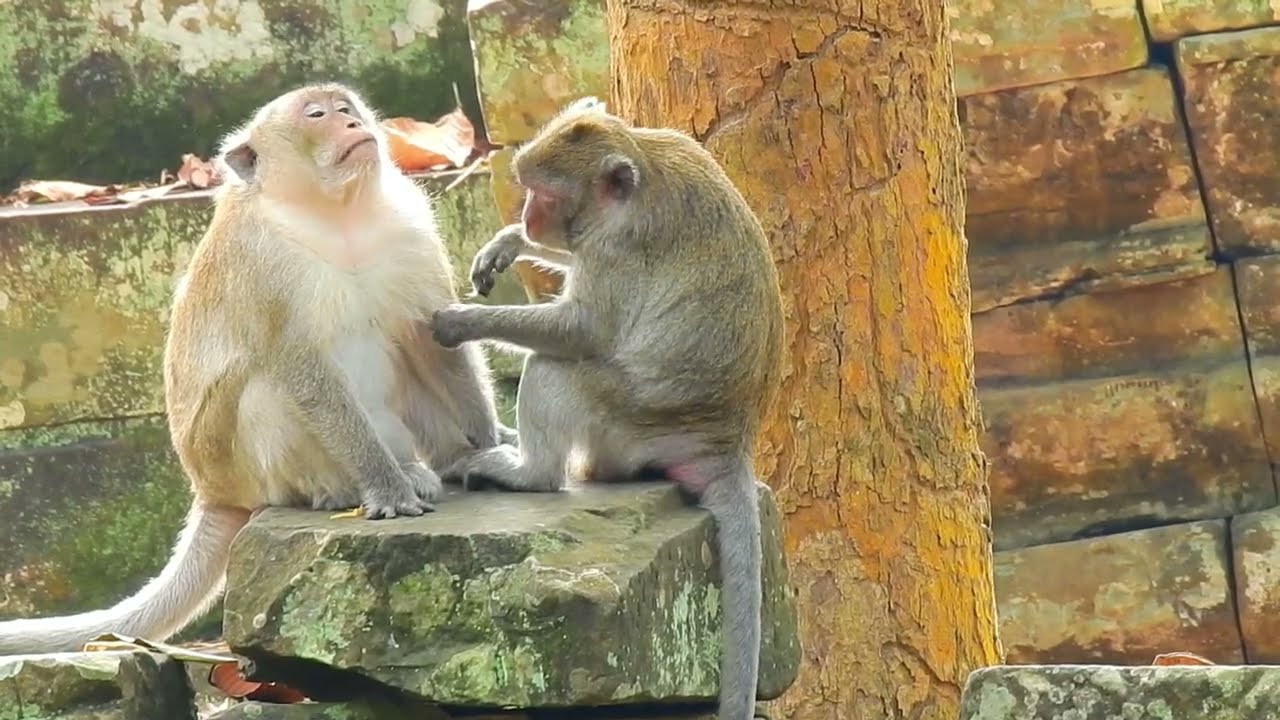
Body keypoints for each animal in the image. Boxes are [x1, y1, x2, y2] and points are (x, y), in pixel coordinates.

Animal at [0, 82, 515, 655]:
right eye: (317, 115)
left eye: (346, 109)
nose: (354, 126)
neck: (337, 215)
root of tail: (212, 492)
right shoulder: (263, 263)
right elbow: (302, 371)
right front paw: (386, 489)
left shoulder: (408, 226)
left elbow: (433, 337)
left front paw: (488, 442)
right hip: (244, 465)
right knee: (264, 387)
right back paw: (344, 488)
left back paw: (448, 461)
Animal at [431, 97, 785, 720]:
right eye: (528, 191)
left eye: (545, 195)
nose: (528, 218)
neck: (640, 164)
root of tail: (726, 443)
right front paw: (506, 245)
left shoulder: (620, 247)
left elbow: (583, 332)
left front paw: (460, 322)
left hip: (625, 425)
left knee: (555, 371)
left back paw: (529, 473)